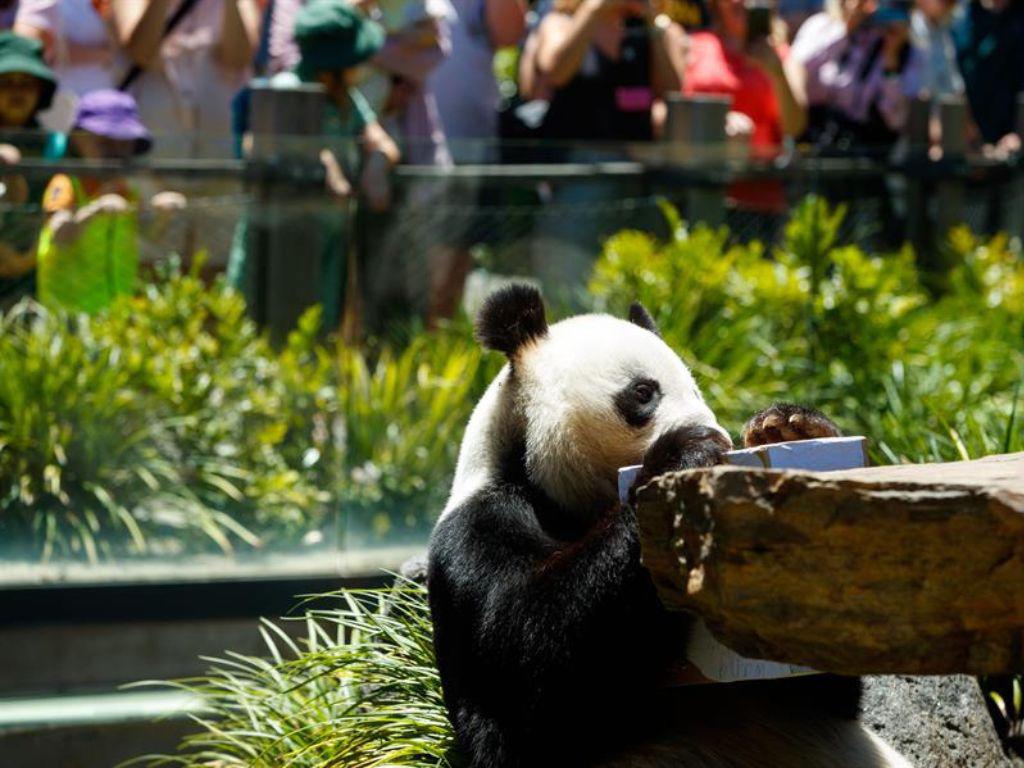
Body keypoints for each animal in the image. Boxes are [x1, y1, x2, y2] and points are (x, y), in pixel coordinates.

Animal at [427, 285, 910, 768]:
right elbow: (530, 669)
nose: (719, 435)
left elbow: (822, 686)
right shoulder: (477, 533)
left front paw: (790, 429)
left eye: (696, 388)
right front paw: (686, 457)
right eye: (643, 392)